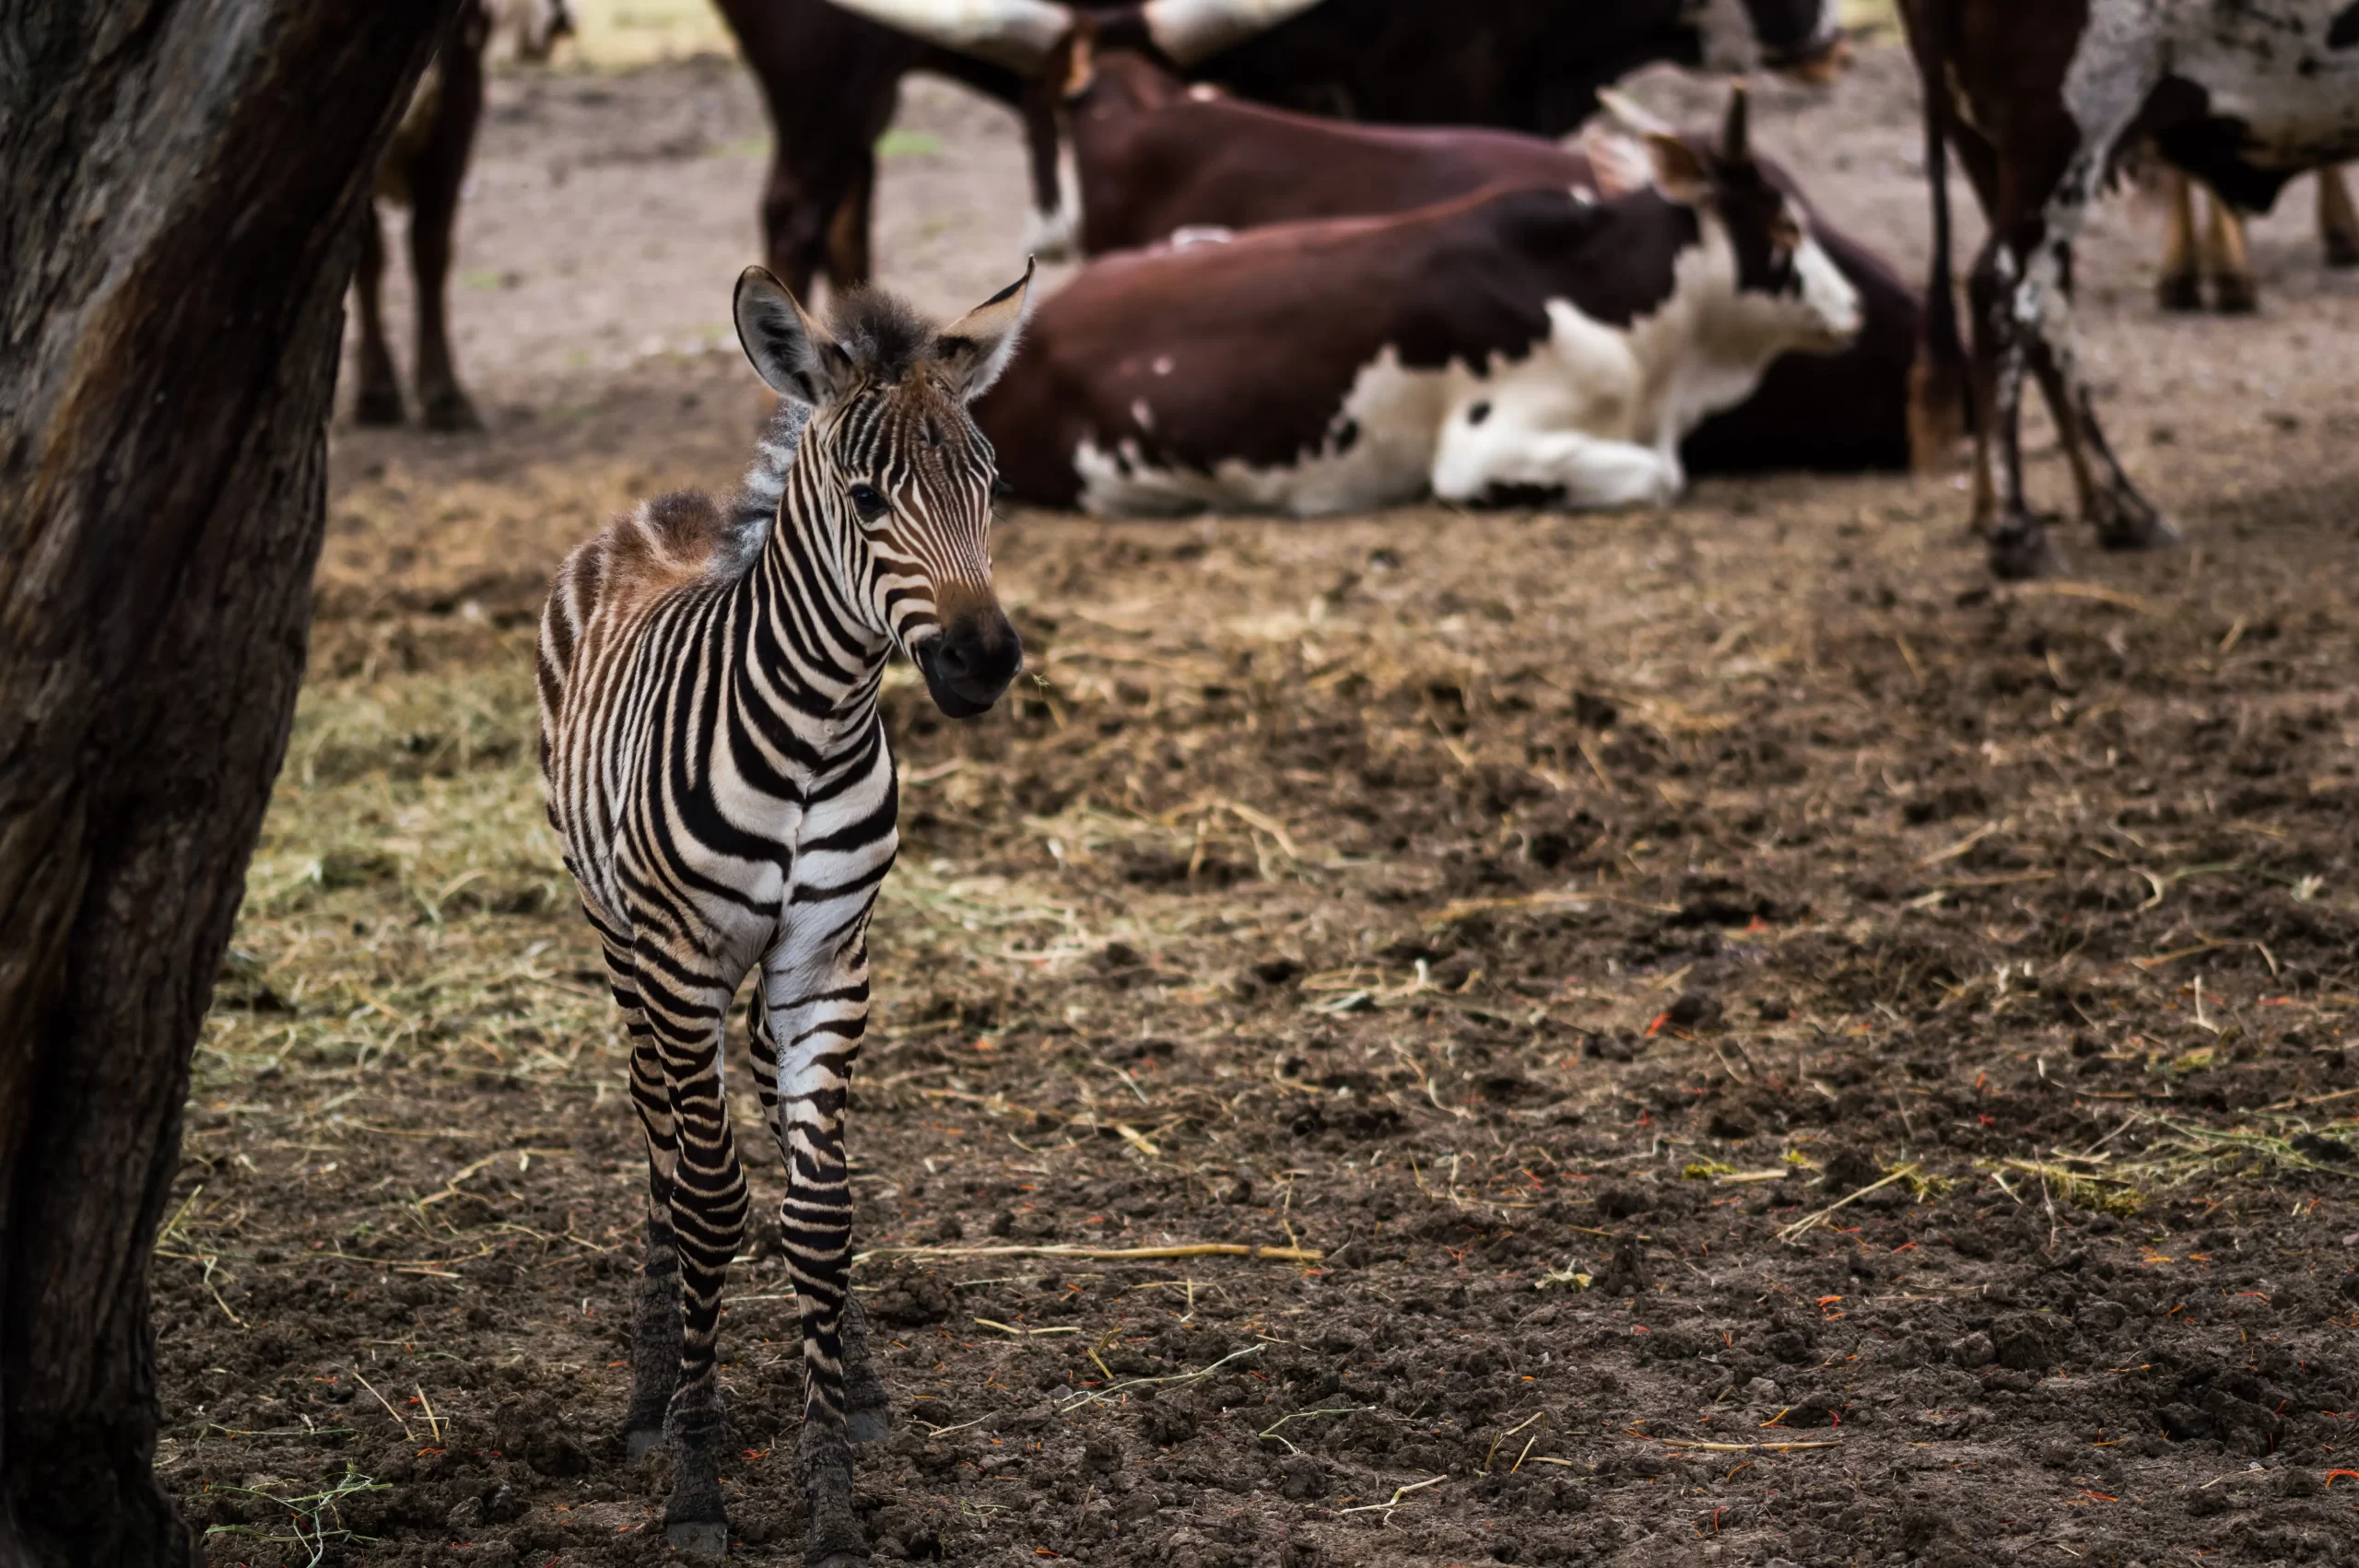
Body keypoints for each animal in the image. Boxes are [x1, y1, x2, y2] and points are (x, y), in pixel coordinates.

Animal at [545, 259, 1042, 1556]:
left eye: (990, 486)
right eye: (867, 499)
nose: (984, 662)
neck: (816, 730)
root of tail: (666, 508)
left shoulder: (828, 957)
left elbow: (820, 1208)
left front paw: (832, 1491)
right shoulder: (679, 958)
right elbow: (710, 1200)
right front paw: (694, 1477)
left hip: (760, 980)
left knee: (766, 1120)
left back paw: (850, 1377)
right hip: (622, 941)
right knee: (661, 1140)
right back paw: (648, 1391)